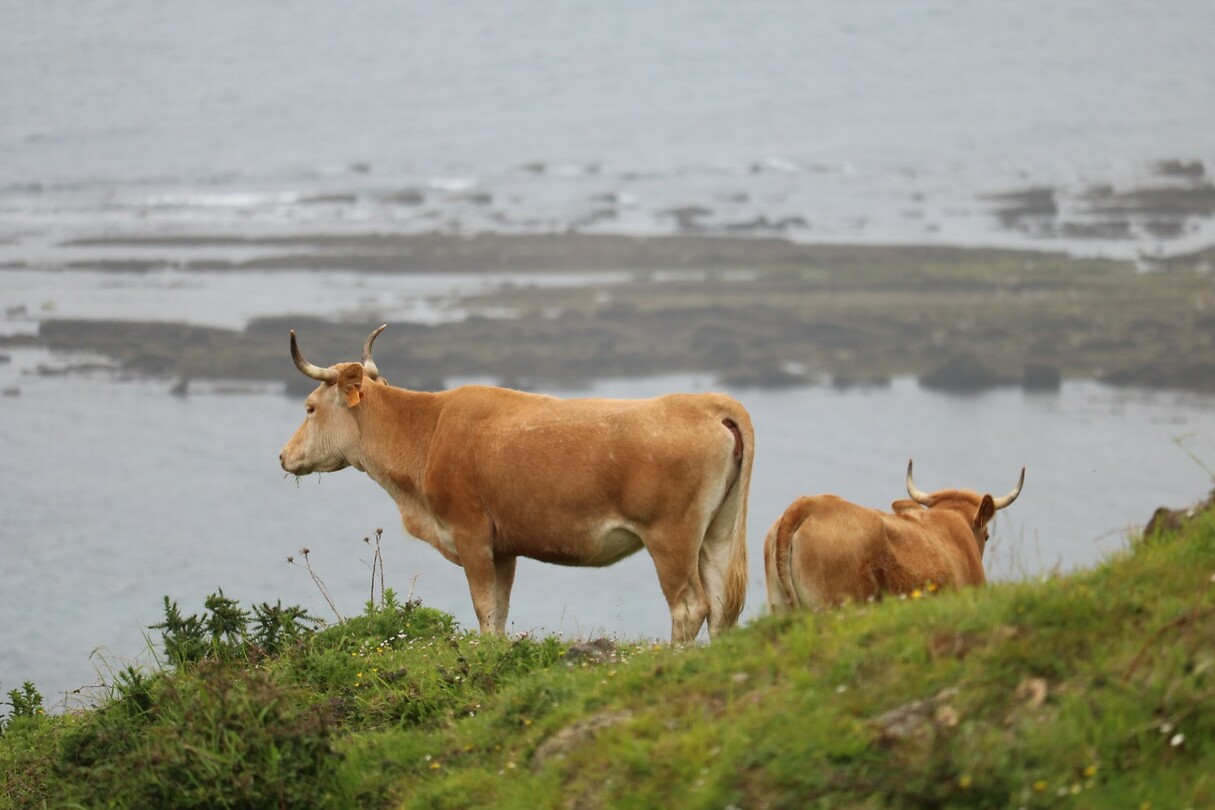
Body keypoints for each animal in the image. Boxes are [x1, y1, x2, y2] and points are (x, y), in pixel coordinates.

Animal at [279, 325, 755, 644]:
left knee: (690, 608)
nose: (283, 456)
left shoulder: (470, 535)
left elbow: (484, 607)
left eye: (309, 408)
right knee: (721, 607)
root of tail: (709, 404)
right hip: (718, 532)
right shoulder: (503, 547)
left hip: (671, 538)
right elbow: (501, 611)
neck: (429, 431)